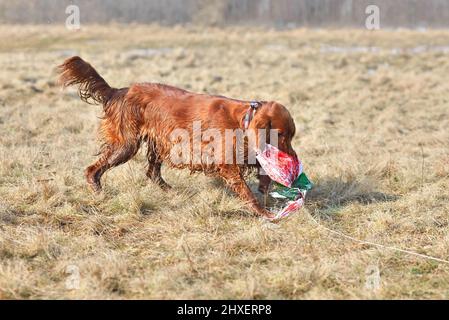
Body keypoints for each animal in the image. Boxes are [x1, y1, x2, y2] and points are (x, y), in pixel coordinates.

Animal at [57, 56, 296, 219]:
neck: (242, 120)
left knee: (152, 173)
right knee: (93, 169)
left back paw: (170, 192)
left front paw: (266, 186)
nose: (293, 158)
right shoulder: (226, 161)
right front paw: (264, 212)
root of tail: (119, 91)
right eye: (281, 135)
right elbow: (246, 190)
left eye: (291, 136)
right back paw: (98, 192)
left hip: (157, 143)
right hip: (127, 145)